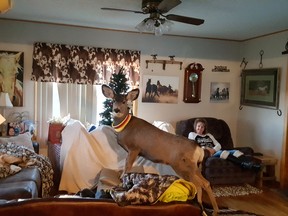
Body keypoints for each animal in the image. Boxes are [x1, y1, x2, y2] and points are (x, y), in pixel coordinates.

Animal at [101, 84, 218, 214]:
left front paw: (122, 180)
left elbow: (127, 166)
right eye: (113, 100)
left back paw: (203, 208)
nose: (116, 110)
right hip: (194, 167)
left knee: (198, 185)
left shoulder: (134, 148)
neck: (125, 127)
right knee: (206, 183)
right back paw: (214, 211)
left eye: (124, 101)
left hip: (183, 166)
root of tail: (198, 149)